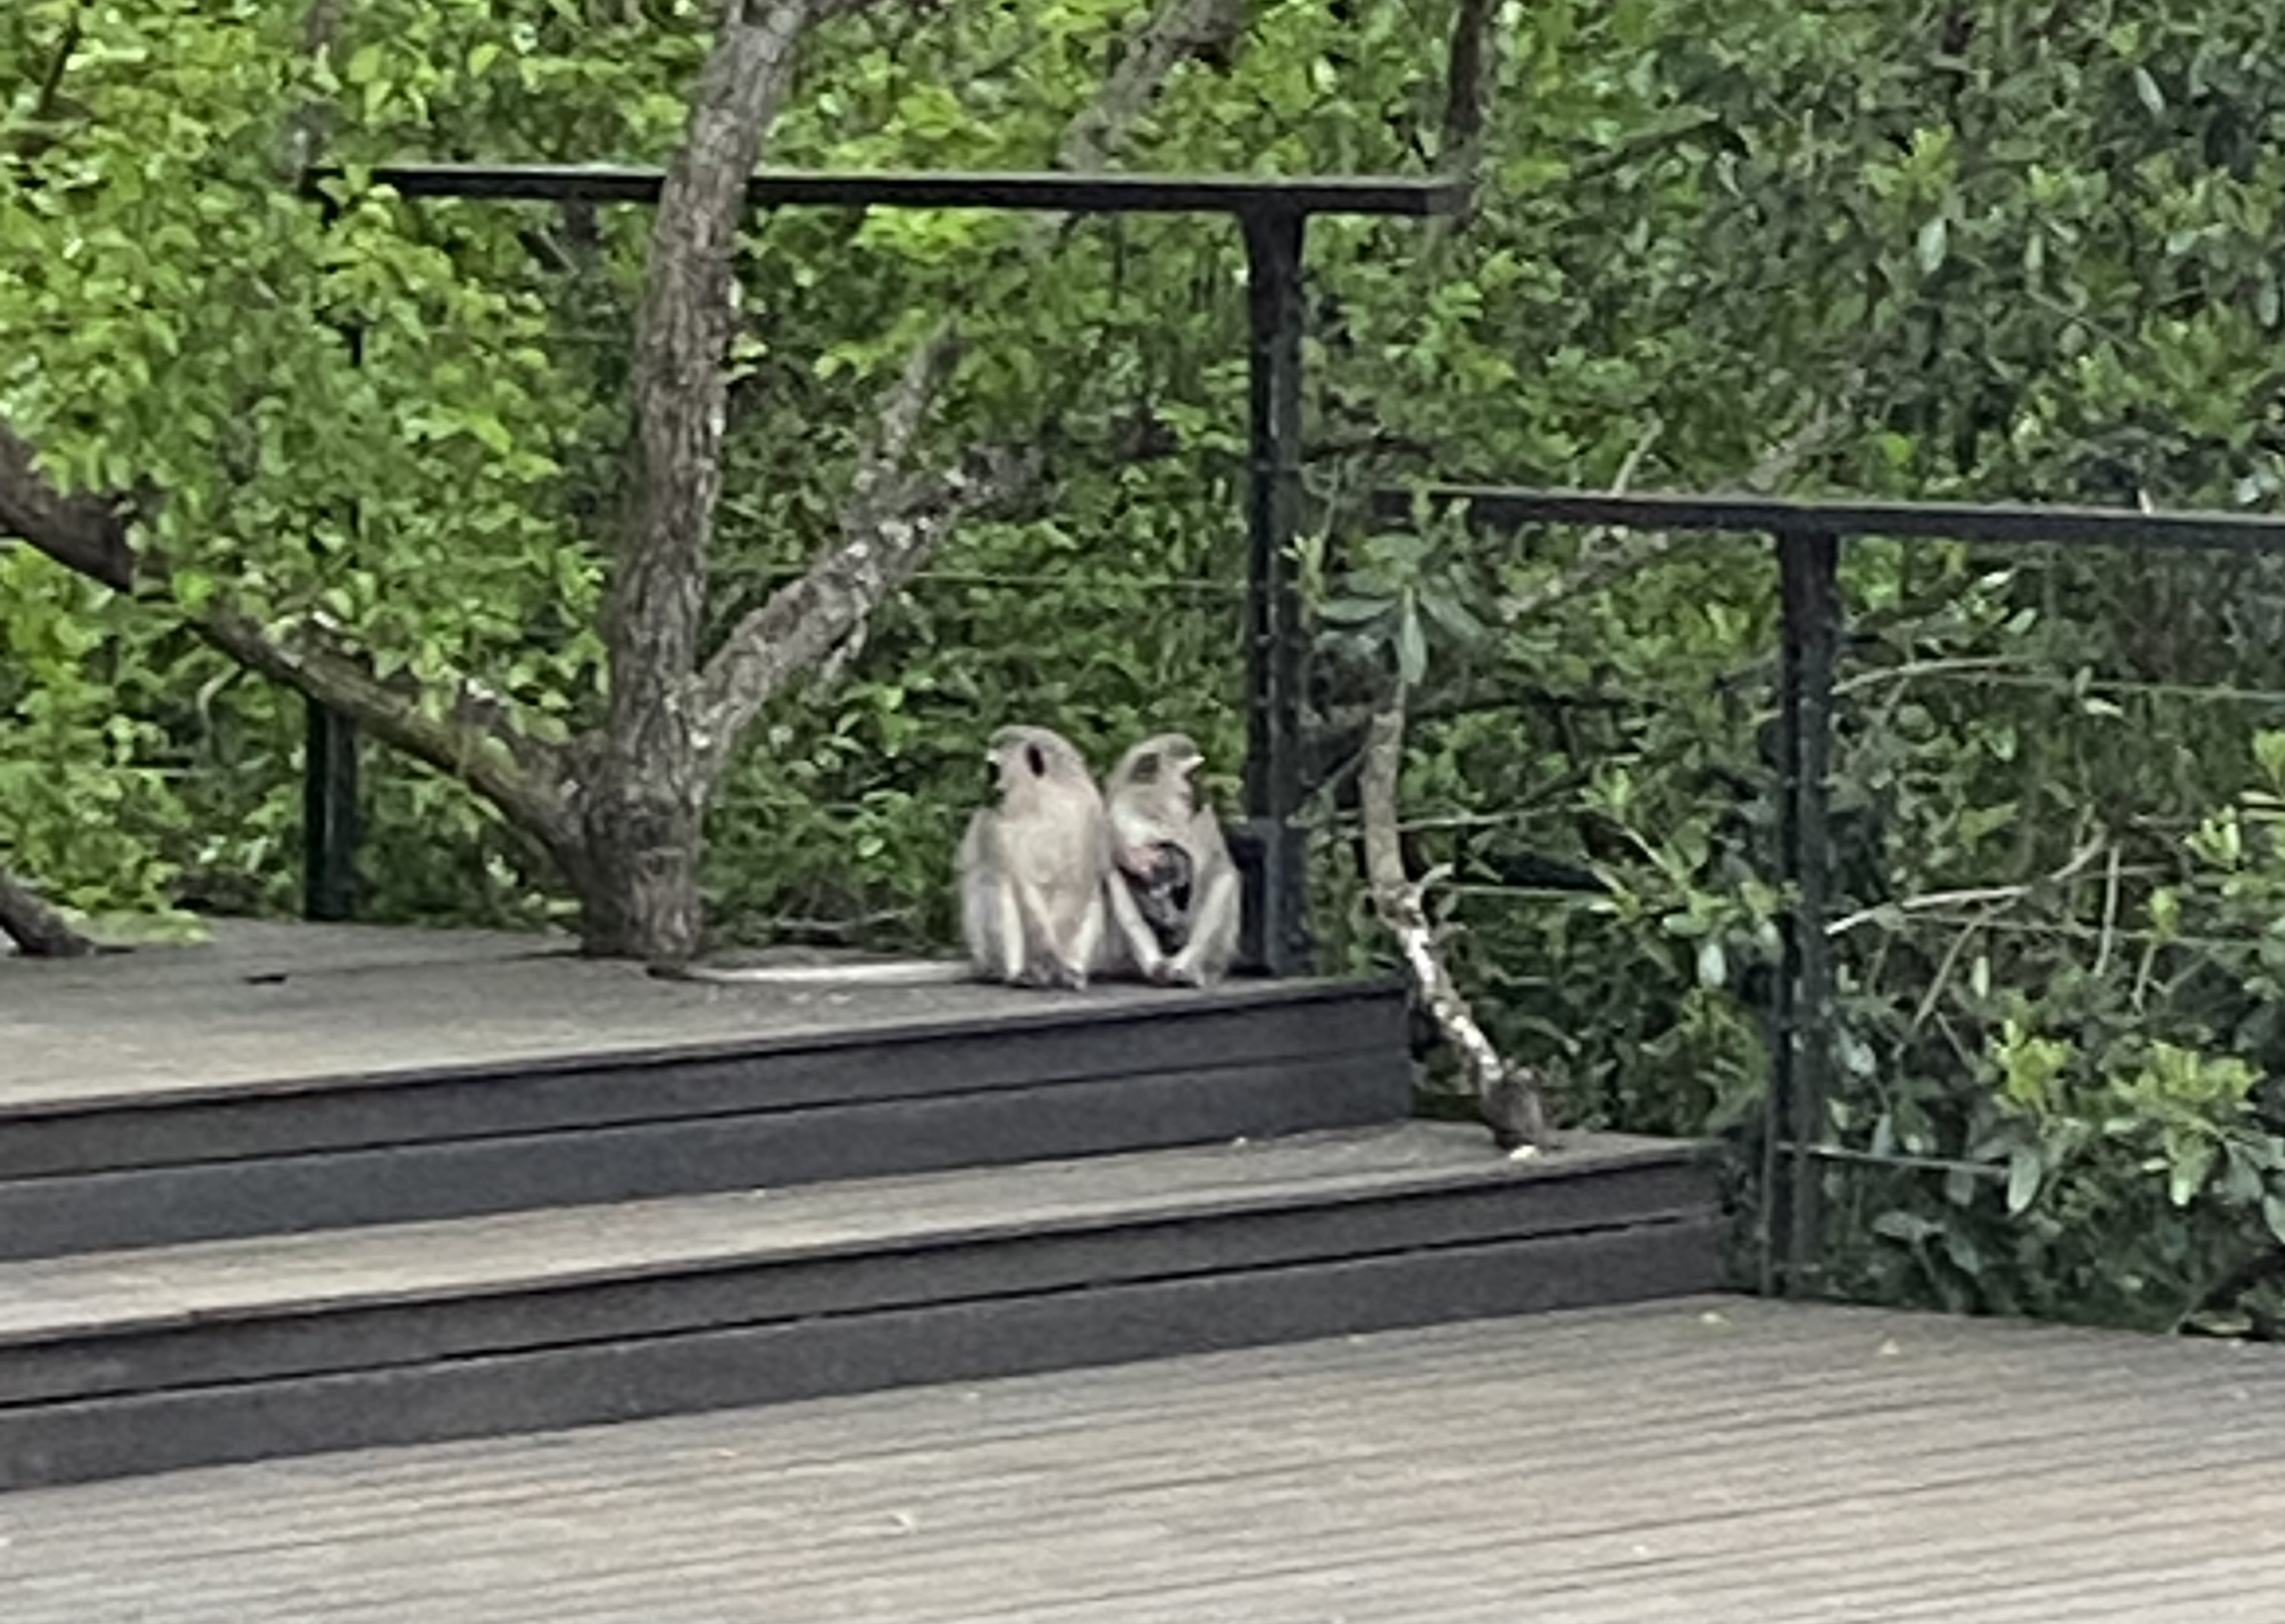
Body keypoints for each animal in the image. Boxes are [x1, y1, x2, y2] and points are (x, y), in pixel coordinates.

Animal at [1101, 732, 1240, 988]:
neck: (1154, 811)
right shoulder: (1116, 818)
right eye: (1192, 775)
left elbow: (1222, 874)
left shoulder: (1201, 820)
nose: (1202, 792)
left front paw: (1185, 965)